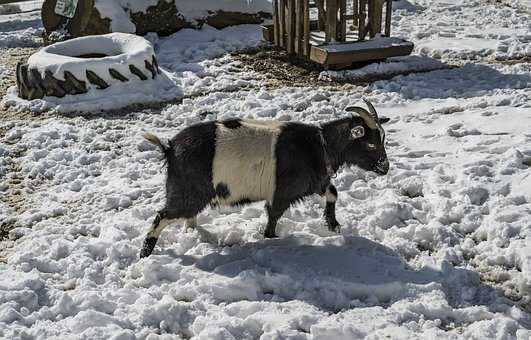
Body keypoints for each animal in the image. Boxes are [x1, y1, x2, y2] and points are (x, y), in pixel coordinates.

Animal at [140, 99, 390, 258]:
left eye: (383, 139)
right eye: (370, 143)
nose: (385, 167)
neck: (319, 146)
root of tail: (170, 148)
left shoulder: (314, 182)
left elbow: (333, 192)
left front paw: (333, 225)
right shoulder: (282, 193)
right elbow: (273, 215)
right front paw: (271, 239)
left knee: (185, 215)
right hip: (186, 192)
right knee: (162, 216)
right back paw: (145, 254)